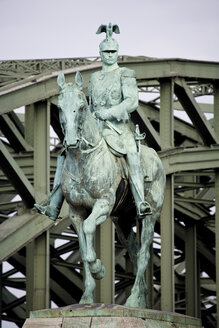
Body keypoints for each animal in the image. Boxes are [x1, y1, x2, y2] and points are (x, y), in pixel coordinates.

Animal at [56, 71, 166, 308]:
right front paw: (87, 295)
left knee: (144, 254)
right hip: (122, 222)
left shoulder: (104, 203)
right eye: (60, 107)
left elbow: (89, 229)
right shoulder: (76, 212)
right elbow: (82, 247)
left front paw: (98, 268)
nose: (71, 141)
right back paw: (141, 298)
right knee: (134, 253)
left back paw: (133, 299)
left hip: (150, 216)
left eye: (81, 106)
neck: (83, 159)